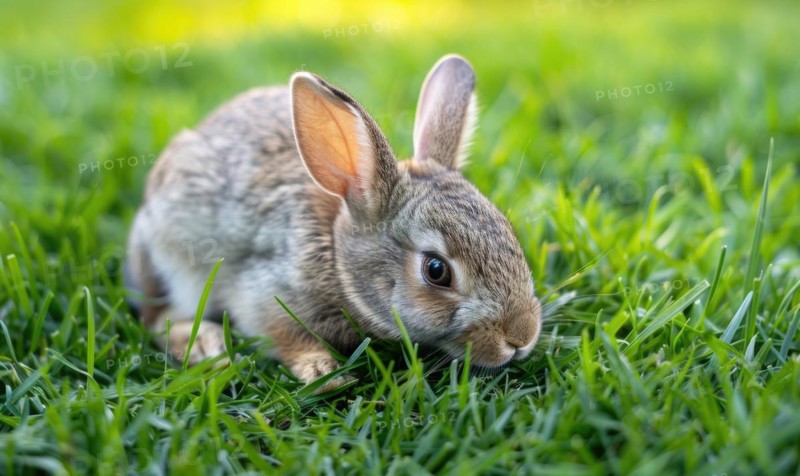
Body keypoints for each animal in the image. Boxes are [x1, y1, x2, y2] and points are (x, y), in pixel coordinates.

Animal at [125, 54, 542, 390]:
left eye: (510, 236)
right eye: (436, 271)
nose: (521, 337)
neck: (337, 255)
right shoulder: (265, 294)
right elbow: (283, 336)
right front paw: (325, 374)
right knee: (158, 318)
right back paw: (203, 344)